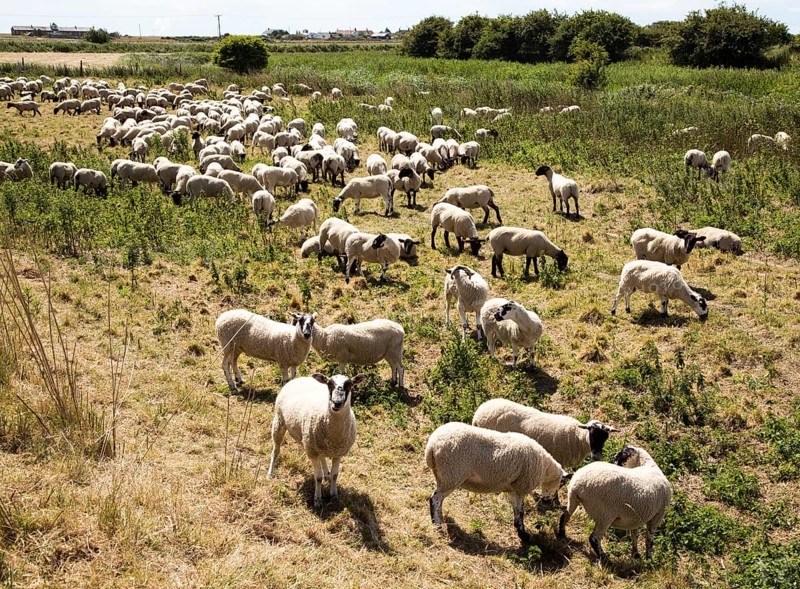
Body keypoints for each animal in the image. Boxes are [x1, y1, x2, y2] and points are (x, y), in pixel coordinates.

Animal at [268, 372, 366, 508]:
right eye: (329, 384)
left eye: (349, 385)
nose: (337, 403)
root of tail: (299, 378)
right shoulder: (312, 452)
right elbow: (318, 477)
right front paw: (318, 499)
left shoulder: (338, 453)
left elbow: (335, 475)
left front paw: (334, 495)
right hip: (279, 421)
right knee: (276, 450)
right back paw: (270, 473)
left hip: (317, 443)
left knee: (323, 457)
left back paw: (327, 474)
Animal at [425, 422, 570, 544]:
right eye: (561, 483)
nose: (547, 502)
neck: (545, 468)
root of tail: (432, 446)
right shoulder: (521, 488)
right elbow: (521, 512)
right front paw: (524, 536)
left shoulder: (513, 490)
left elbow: (517, 512)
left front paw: (520, 532)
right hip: (451, 474)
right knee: (435, 499)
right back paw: (437, 525)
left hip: (443, 476)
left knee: (439, 500)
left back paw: (440, 519)